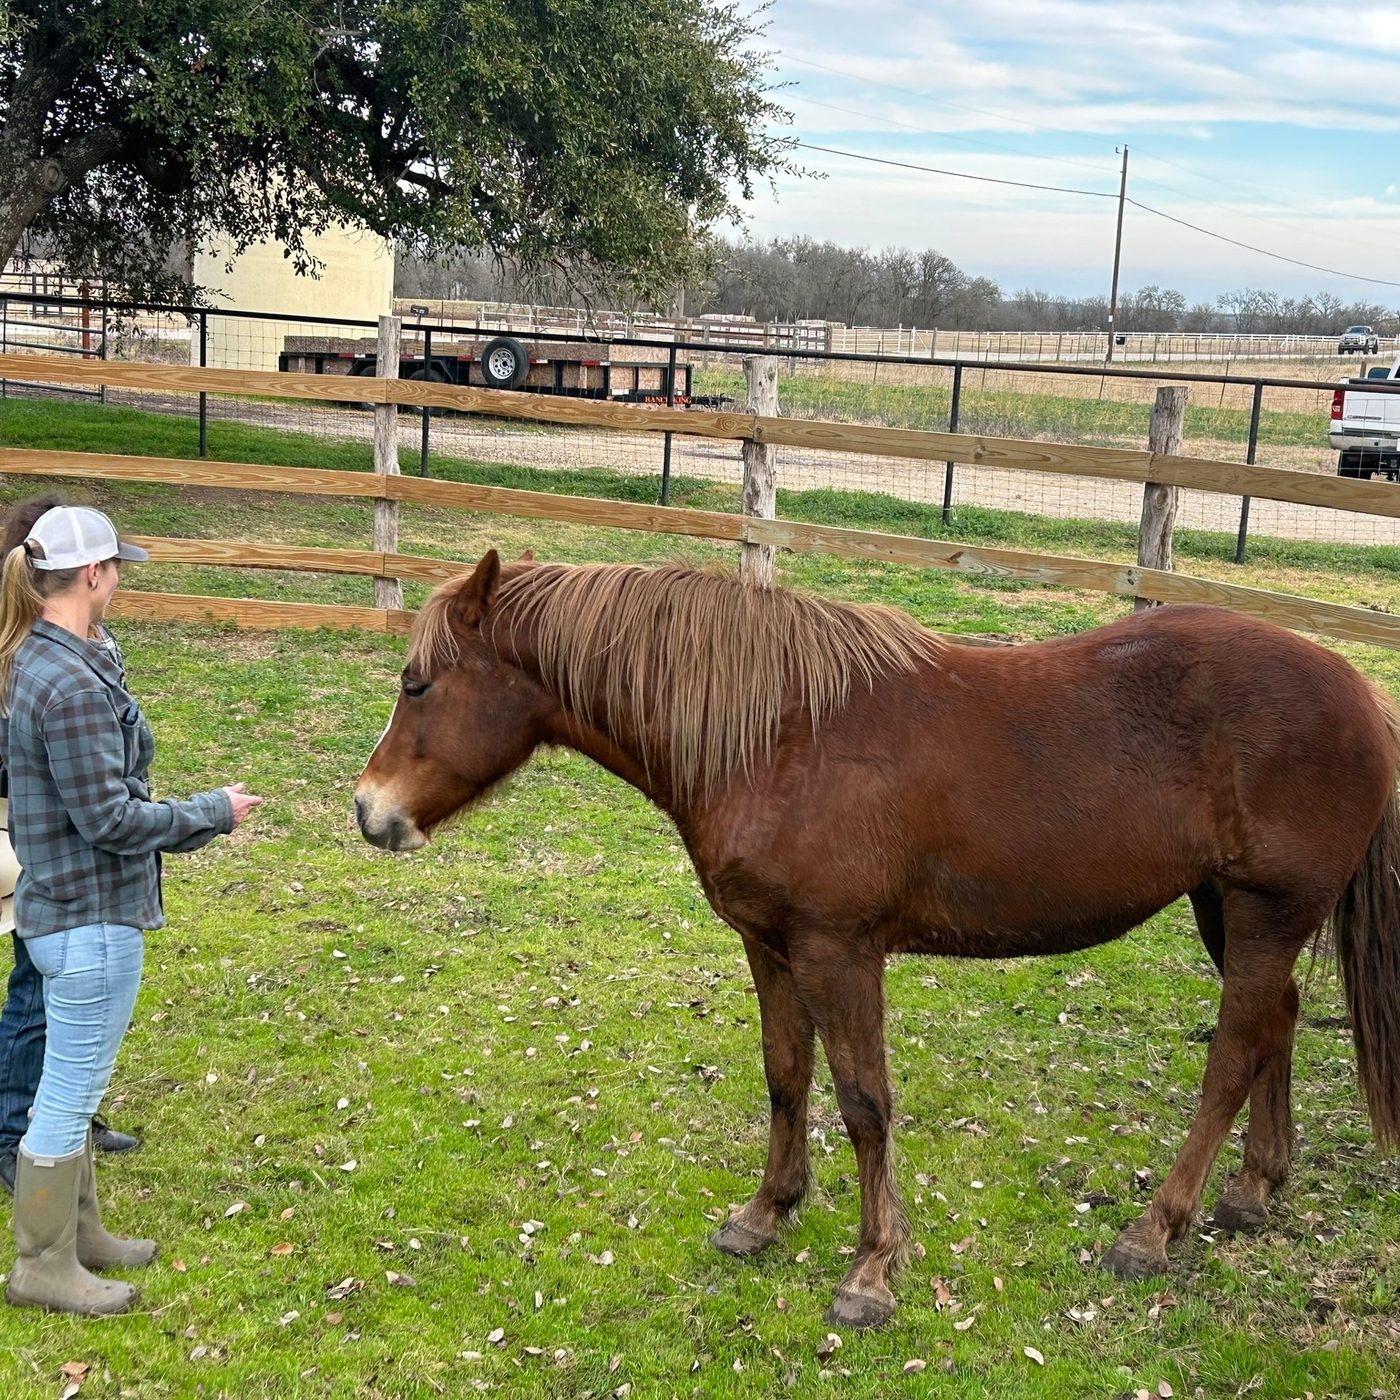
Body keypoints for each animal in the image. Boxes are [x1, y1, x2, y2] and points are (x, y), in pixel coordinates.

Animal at [355, 550, 1400, 1329]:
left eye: (418, 685)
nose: (370, 812)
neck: (780, 735)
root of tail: (1360, 695)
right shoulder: (771, 945)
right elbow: (786, 1075)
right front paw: (765, 1214)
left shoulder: (839, 950)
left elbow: (863, 1102)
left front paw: (870, 1271)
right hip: (1226, 907)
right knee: (1276, 1024)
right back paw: (1254, 1191)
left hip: (1263, 911)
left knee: (1231, 1056)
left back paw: (1154, 1230)